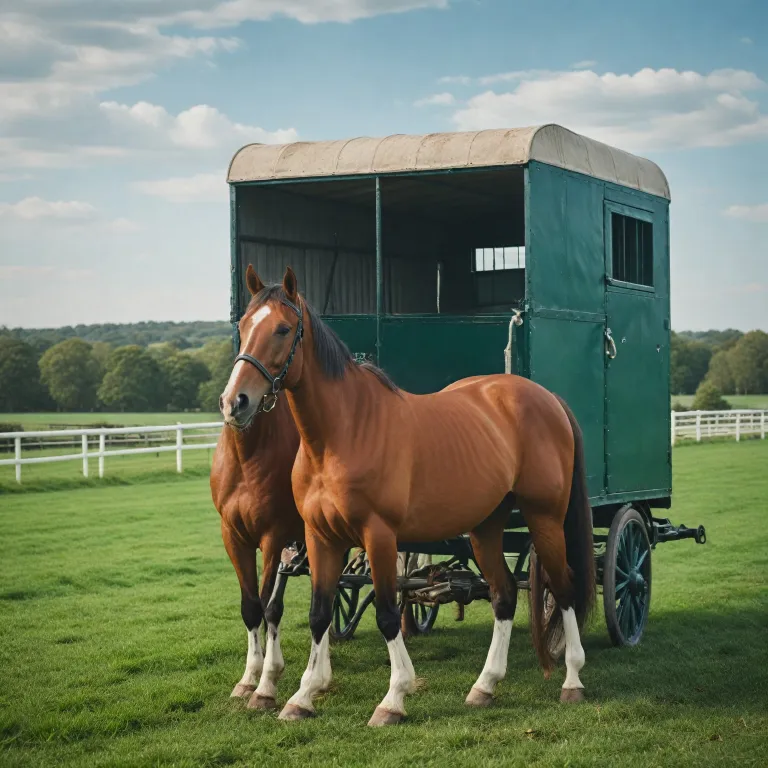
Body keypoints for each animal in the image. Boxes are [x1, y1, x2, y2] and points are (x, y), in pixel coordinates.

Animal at [219, 265, 595, 726]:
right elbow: (318, 614)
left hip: (545, 520)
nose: (235, 402)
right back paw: (484, 686)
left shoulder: (378, 536)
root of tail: (547, 398)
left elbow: (386, 614)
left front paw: (393, 698)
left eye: (283, 329)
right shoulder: (320, 538)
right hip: (486, 527)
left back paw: (572, 680)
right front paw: (302, 696)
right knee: (504, 596)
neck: (343, 433)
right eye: (243, 326)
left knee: (563, 588)